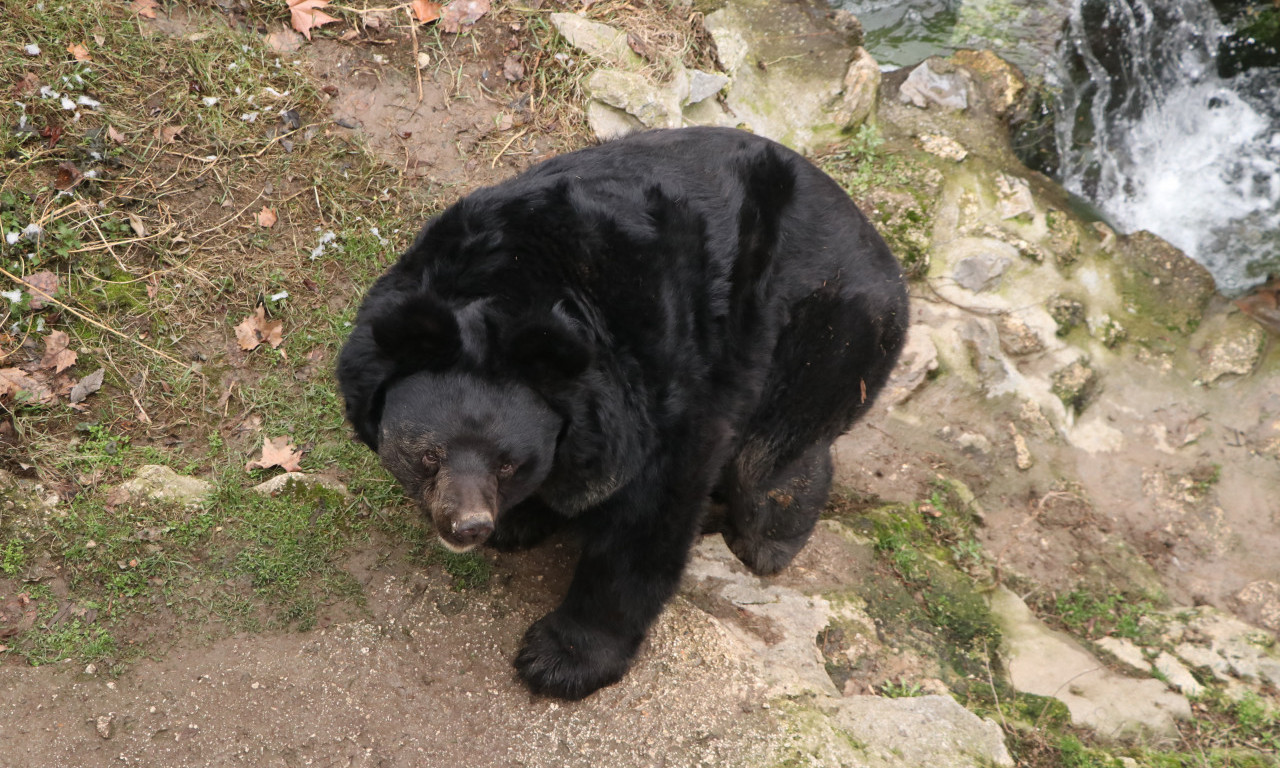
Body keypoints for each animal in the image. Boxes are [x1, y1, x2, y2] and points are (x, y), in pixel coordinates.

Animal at [335, 127, 906, 701]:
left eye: (507, 463)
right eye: (429, 455)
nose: (468, 526)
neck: (516, 282)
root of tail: (885, 254)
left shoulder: (661, 386)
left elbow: (649, 516)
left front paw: (561, 660)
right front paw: (521, 522)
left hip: (826, 331)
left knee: (771, 461)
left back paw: (766, 541)